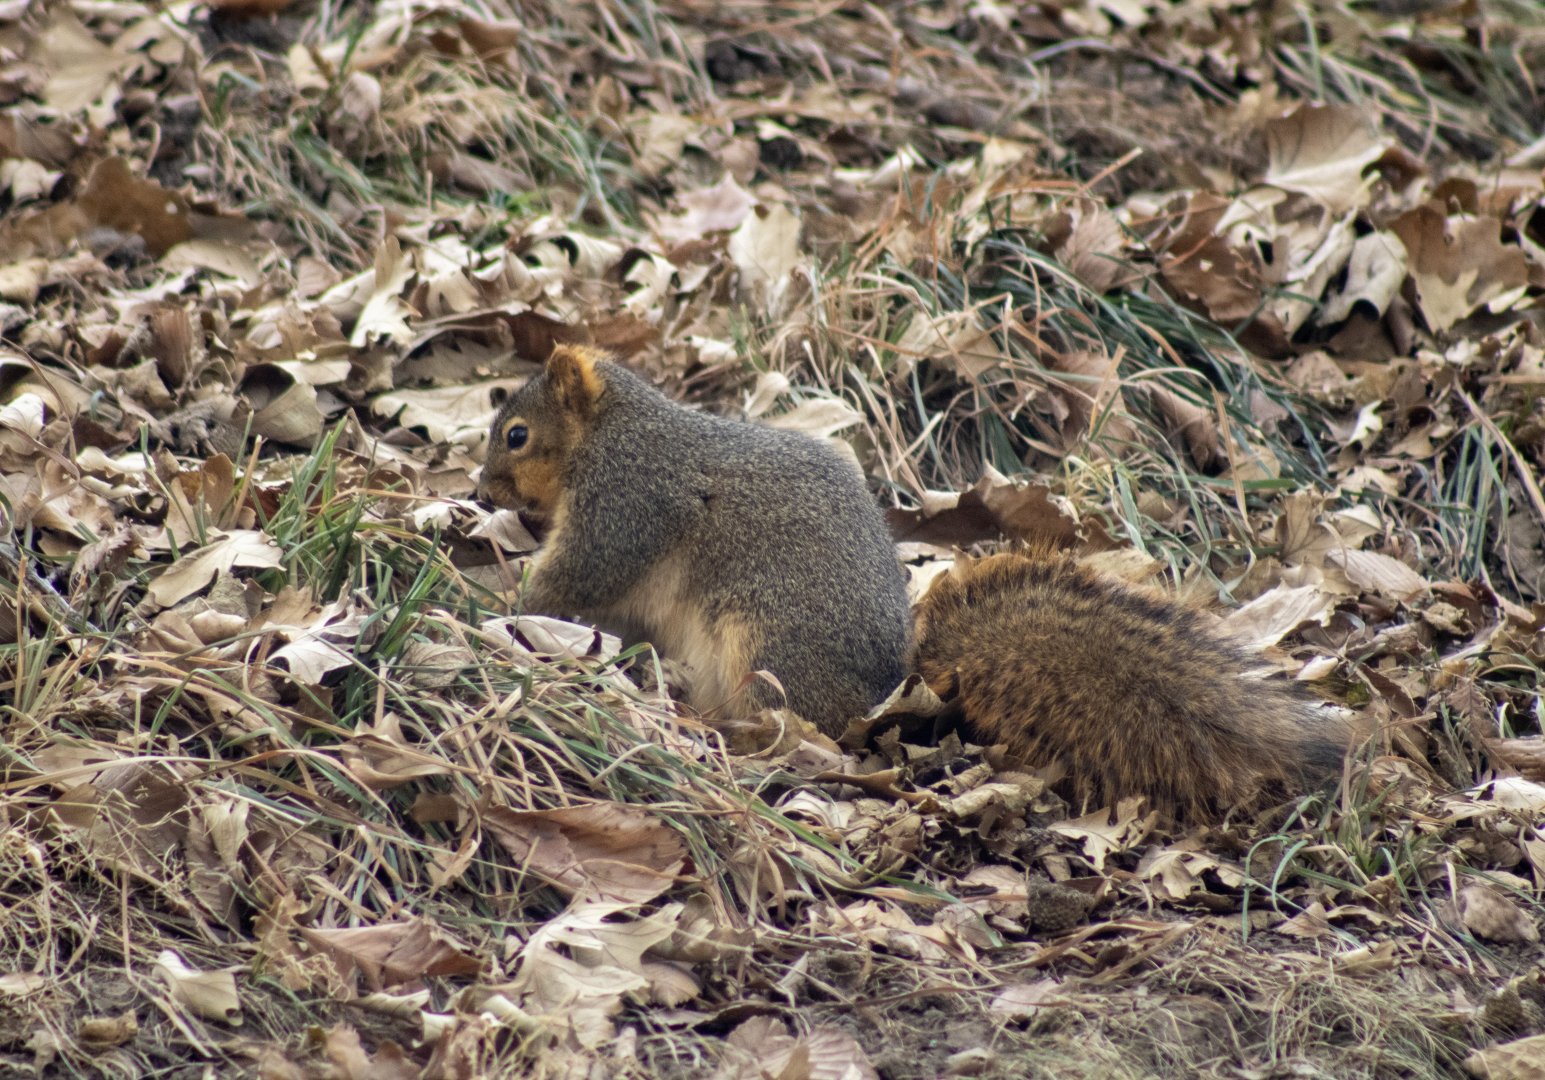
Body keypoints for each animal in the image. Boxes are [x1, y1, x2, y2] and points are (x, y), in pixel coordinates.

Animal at [478, 346, 1360, 819]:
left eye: (516, 435)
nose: (481, 489)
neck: (613, 431)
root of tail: (893, 688)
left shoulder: (626, 500)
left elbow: (575, 572)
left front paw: (494, 594)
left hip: (763, 643)